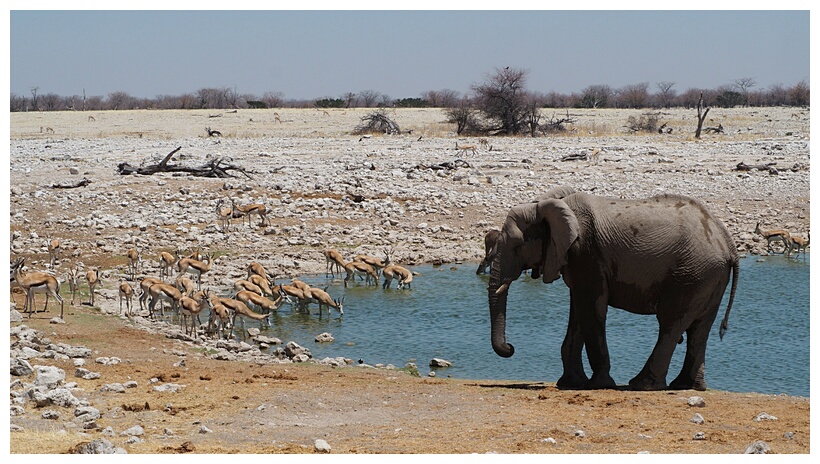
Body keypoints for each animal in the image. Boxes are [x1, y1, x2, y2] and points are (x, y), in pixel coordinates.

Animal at [484, 188, 740, 392]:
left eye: (518, 246)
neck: (547, 205)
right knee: (699, 329)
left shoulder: (587, 253)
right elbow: (578, 313)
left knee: (671, 324)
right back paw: (686, 386)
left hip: (693, 274)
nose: (510, 347)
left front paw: (597, 385)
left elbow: (591, 309)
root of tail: (728, 243)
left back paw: (642, 385)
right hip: (709, 276)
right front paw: (570, 383)